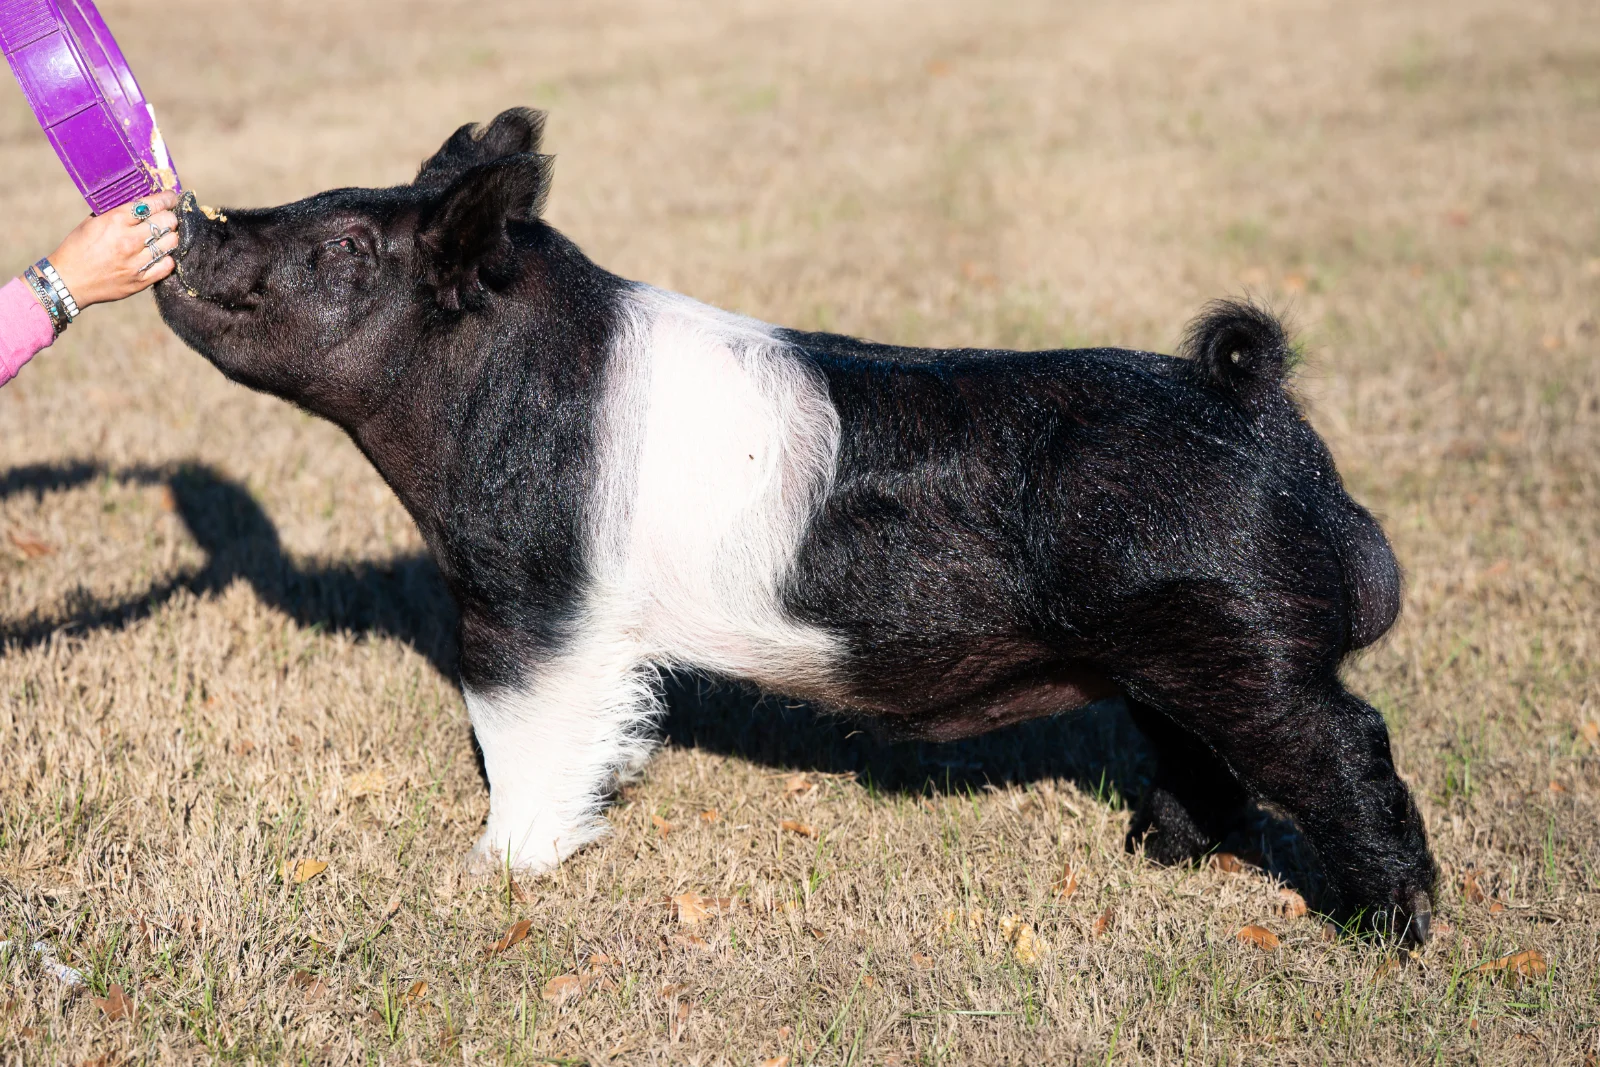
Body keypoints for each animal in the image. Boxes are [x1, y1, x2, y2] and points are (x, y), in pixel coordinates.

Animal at [156, 108, 1435, 942]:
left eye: (343, 250)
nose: (190, 222)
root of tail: (1252, 404)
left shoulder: (529, 596)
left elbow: (521, 733)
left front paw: (488, 873)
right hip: (1166, 656)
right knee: (1197, 757)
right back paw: (1153, 856)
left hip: (1242, 645)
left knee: (1344, 744)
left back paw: (1389, 928)